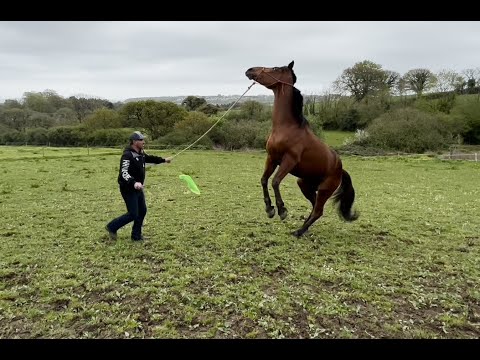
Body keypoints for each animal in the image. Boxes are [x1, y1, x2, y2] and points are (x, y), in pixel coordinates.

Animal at [246, 60, 358, 238]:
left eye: (275, 69)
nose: (250, 70)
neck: (287, 128)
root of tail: (340, 169)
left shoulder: (289, 160)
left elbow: (275, 181)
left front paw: (282, 210)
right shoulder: (271, 158)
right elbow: (264, 180)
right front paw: (269, 209)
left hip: (324, 189)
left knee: (318, 210)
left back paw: (299, 231)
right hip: (304, 184)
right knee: (315, 207)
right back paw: (301, 228)